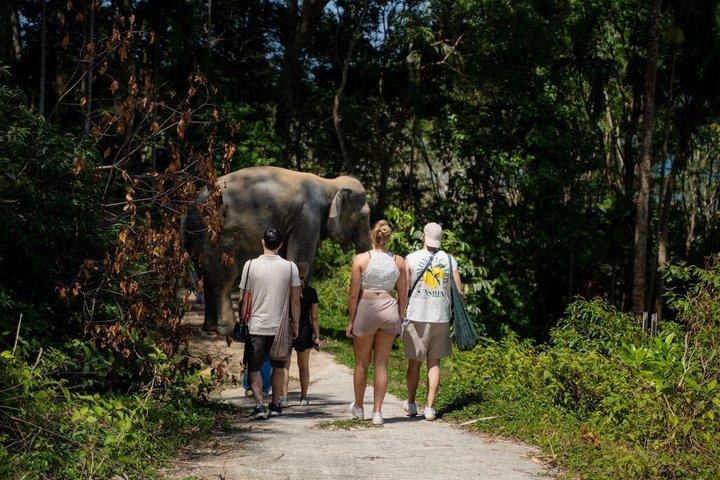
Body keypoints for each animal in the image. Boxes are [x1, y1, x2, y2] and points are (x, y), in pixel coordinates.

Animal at [183, 166, 372, 334]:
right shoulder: (307, 218)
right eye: (364, 217)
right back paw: (228, 329)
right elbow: (300, 261)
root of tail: (190, 207)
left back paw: (210, 328)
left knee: (206, 277)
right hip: (219, 235)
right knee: (223, 280)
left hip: (199, 235)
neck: (329, 183)